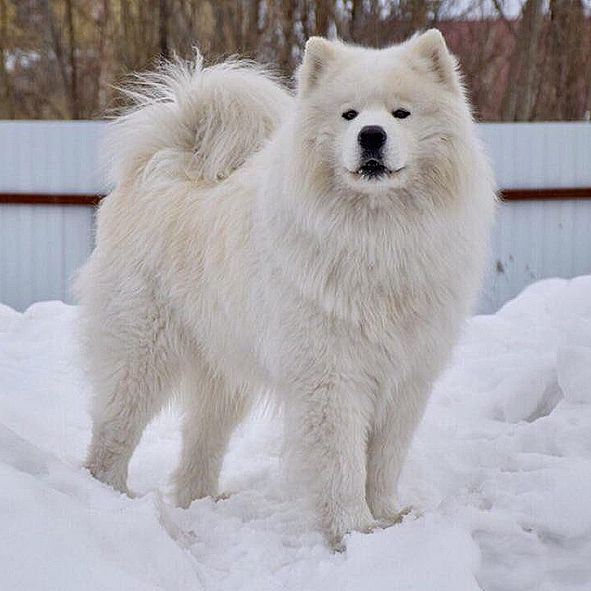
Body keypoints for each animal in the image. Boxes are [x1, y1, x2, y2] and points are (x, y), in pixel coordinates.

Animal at [77, 30, 494, 552]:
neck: (377, 237)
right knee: (113, 435)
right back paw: (112, 501)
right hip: (141, 356)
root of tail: (164, 164)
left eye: (401, 113)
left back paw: (203, 504)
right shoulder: (330, 378)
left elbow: (383, 461)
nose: (371, 136)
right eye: (349, 115)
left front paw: (388, 520)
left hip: (223, 371)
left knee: (200, 443)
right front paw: (353, 533)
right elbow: (343, 465)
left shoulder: (406, 377)